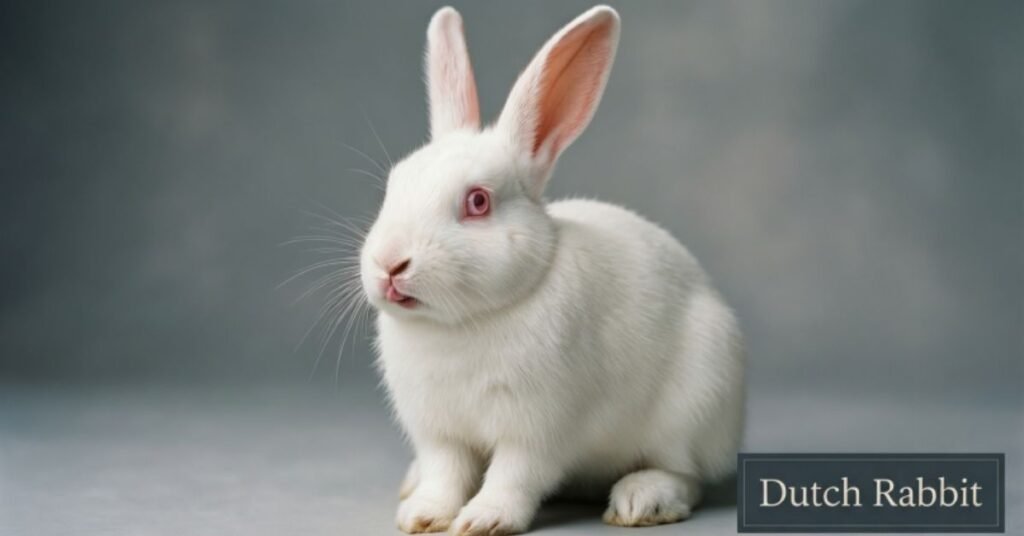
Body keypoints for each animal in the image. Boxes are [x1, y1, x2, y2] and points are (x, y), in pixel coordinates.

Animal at [358, 5, 745, 535]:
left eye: (478, 202)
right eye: (394, 185)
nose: (389, 264)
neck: (462, 325)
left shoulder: (537, 428)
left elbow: (514, 475)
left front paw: (484, 520)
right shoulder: (438, 430)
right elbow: (445, 473)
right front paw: (422, 515)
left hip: (695, 403)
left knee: (686, 474)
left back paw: (641, 501)